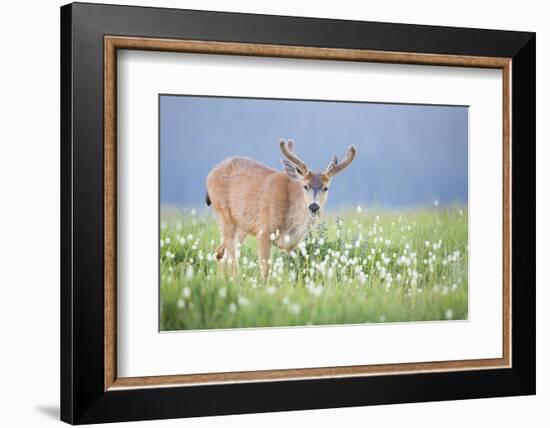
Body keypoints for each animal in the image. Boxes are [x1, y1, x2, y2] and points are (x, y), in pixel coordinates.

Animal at [207, 139, 358, 280]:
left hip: (242, 227)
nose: (314, 206)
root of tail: (210, 175)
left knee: (220, 253)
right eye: (305, 186)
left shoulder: (292, 244)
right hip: (224, 214)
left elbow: (293, 270)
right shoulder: (264, 231)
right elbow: (265, 272)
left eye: (325, 188)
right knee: (230, 258)